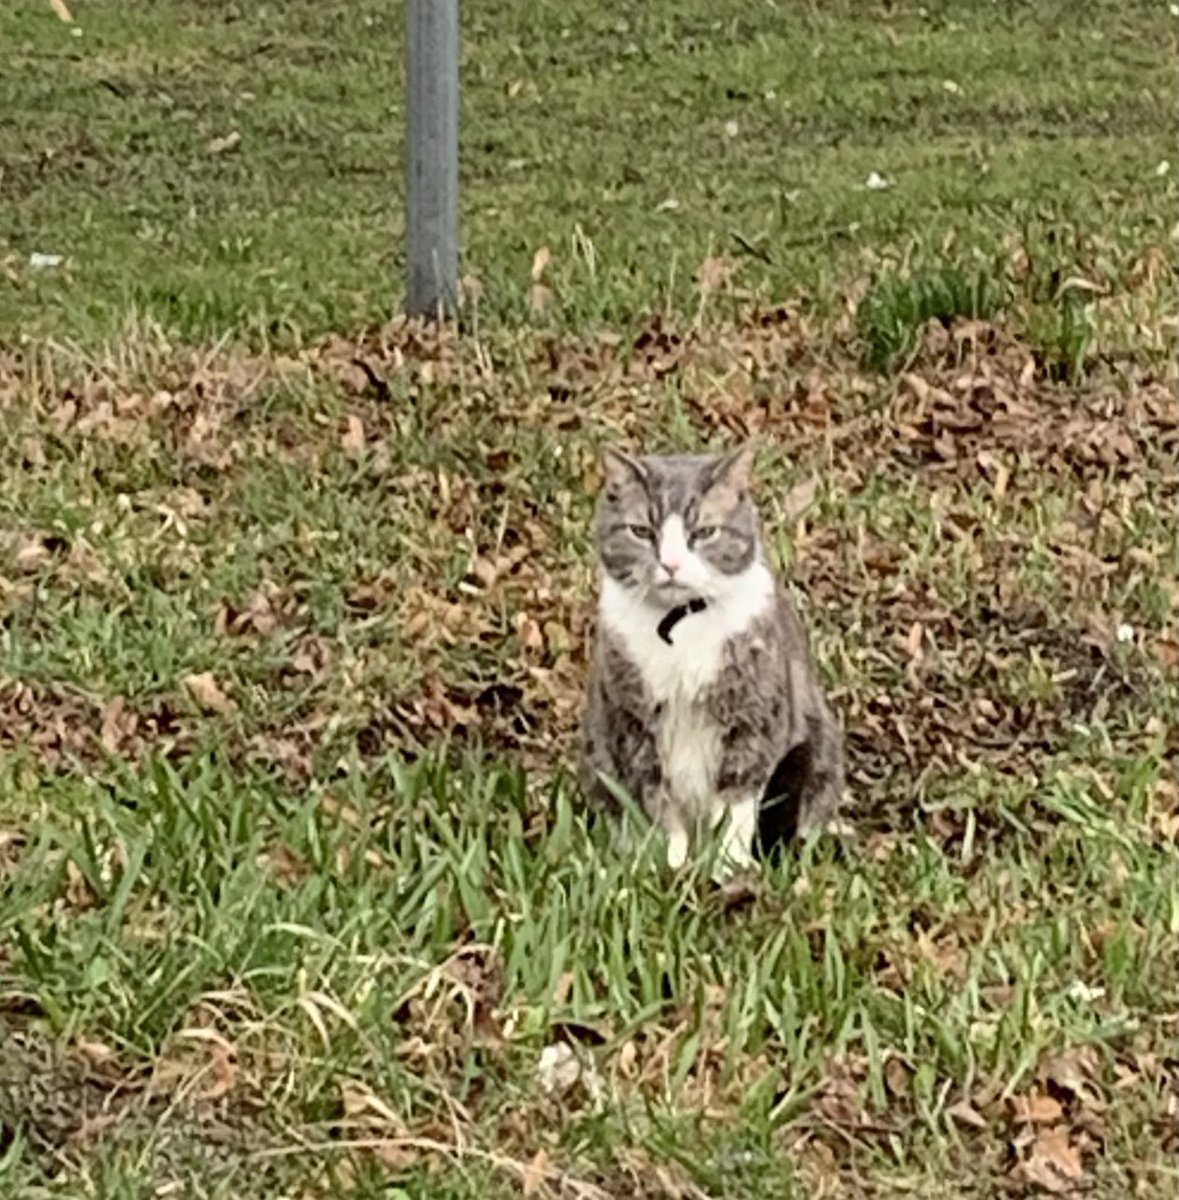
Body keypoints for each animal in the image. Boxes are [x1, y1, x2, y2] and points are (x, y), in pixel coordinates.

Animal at [576, 446, 845, 878]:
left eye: (704, 532)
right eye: (641, 532)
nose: (670, 565)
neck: (681, 626)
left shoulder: (752, 721)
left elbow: (736, 804)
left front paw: (727, 869)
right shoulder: (634, 727)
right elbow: (657, 804)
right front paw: (670, 866)